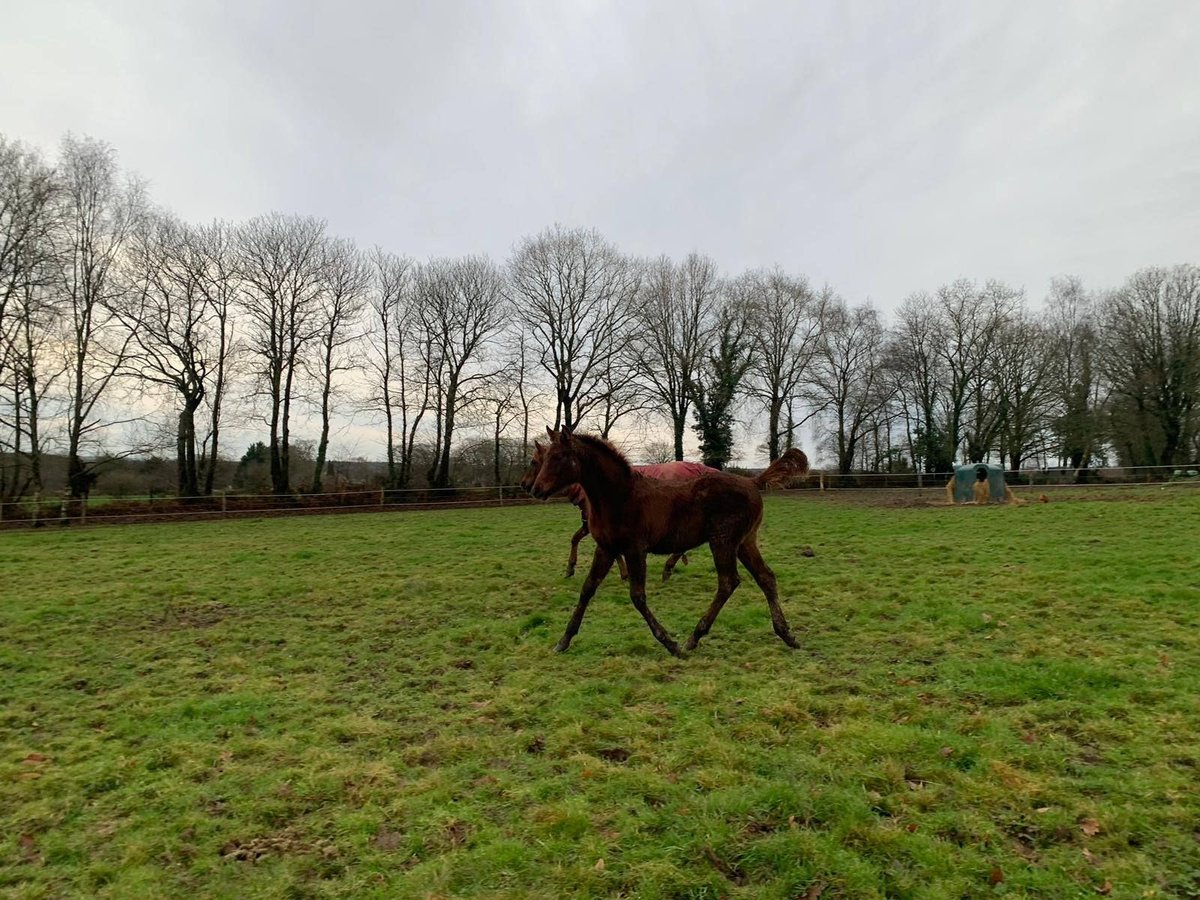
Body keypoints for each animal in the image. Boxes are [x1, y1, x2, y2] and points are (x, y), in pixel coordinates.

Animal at [525, 427, 806, 657]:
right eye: (544, 458)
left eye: (558, 457)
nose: (535, 489)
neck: (618, 497)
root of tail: (751, 480)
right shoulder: (606, 548)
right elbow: (587, 590)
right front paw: (564, 640)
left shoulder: (635, 549)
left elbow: (637, 596)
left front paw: (670, 643)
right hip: (745, 542)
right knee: (765, 577)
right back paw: (786, 634)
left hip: (723, 540)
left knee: (728, 582)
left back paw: (694, 636)